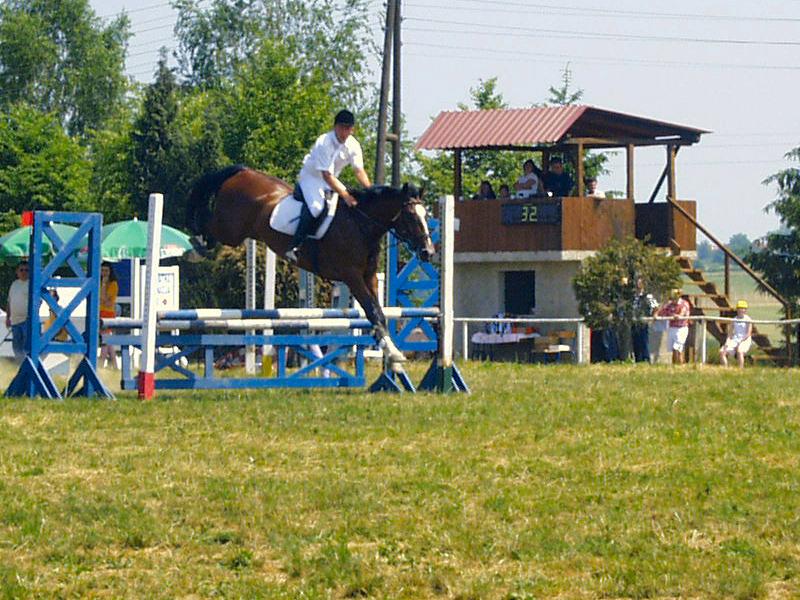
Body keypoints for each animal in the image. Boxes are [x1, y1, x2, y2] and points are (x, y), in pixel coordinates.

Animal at [184, 163, 434, 366]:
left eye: (426, 215)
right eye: (411, 216)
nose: (428, 252)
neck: (361, 223)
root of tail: (243, 172)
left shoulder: (369, 276)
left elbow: (379, 313)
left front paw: (392, 353)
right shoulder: (352, 276)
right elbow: (372, 312)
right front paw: (393, 354)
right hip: (230, 229)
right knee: (209, 228)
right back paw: (193, 249)